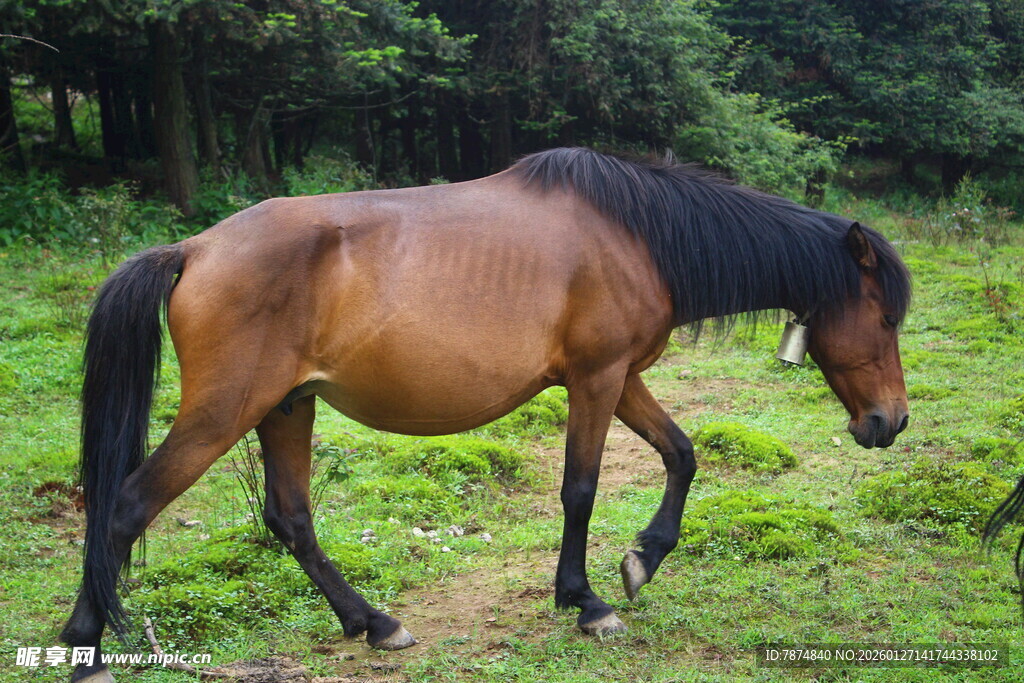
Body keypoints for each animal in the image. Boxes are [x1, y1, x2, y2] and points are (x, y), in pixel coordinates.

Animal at [61, 147, 911, 682]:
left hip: (285, 407)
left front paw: (642, 558)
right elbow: (581, 490)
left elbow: (682, 453)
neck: (637, 233)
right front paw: (587, 600)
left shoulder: (620, 376)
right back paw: (86, 650)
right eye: (884, 315)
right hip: (222, 414)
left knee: (290, 517)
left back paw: (373, 622)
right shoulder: (597, 380)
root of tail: (193, 250)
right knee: (124, 509)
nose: (890, 423)